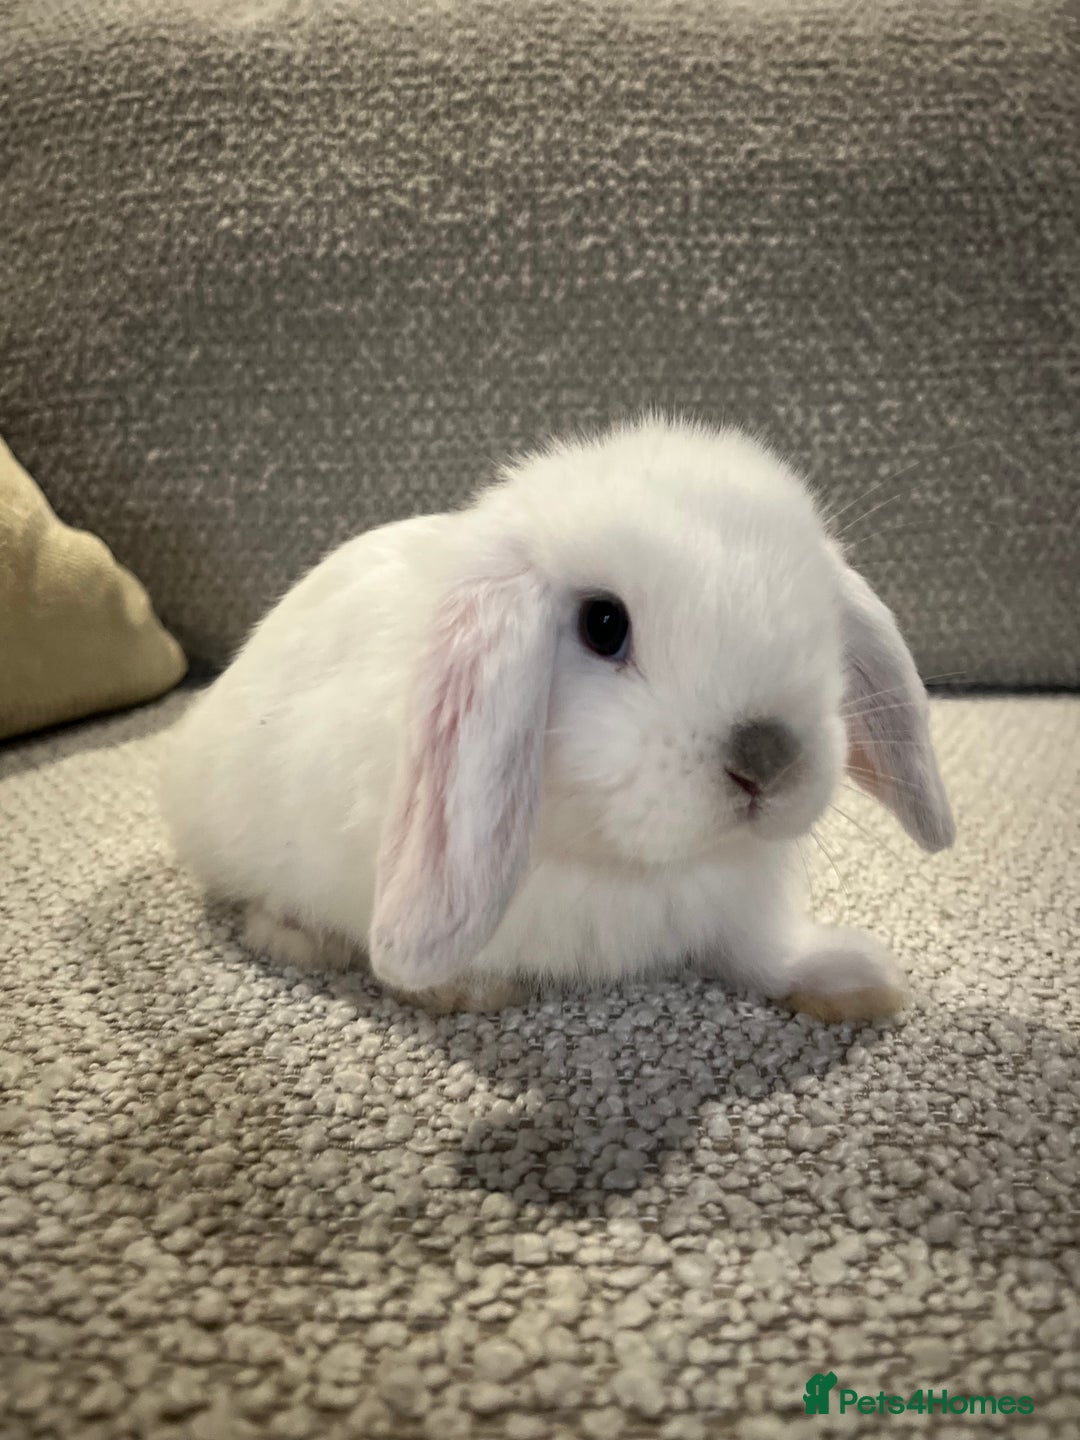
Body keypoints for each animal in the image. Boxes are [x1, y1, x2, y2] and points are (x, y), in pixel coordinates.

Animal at [160, 416, 954, 1021]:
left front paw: (857, 981)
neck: (628, 864)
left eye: (822, 617)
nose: (767, 758)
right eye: (604, 625)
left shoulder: (739, 905)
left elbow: (762, 954)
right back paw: (299, 937)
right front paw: (464, 989)